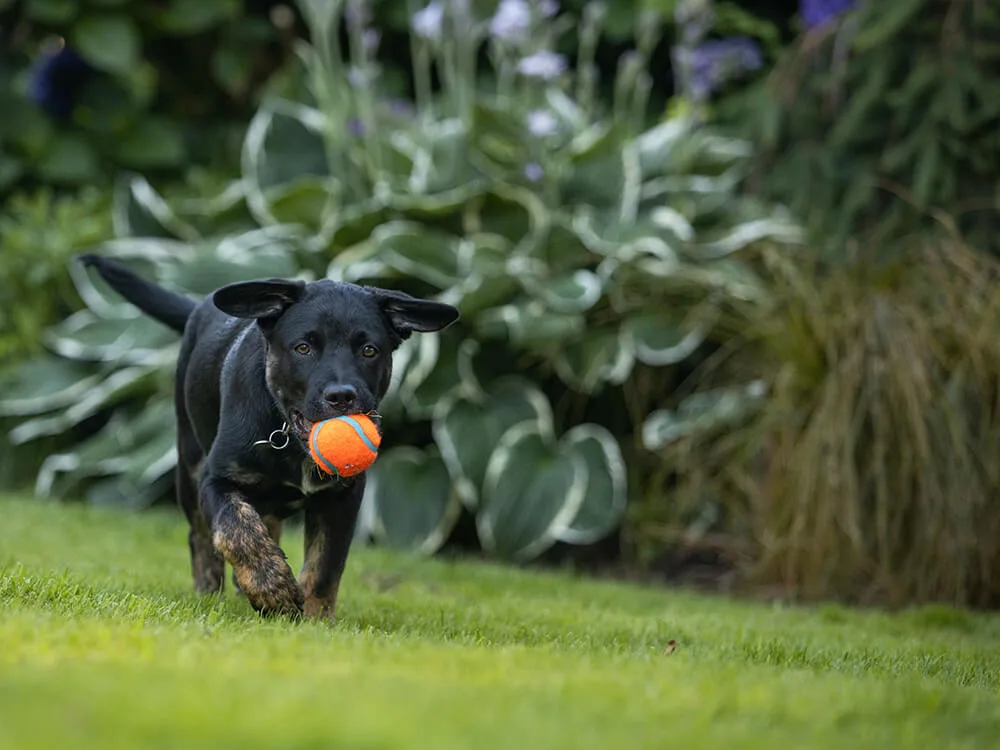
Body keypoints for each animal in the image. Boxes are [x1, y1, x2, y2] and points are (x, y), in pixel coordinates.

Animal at [78, 256, 460, 620]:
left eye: (369, 350)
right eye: (303, 348)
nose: (341, 396)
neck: (290, 438)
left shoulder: (343, 495)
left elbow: (326, 564)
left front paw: (315, 617)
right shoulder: (216, 480)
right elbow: (236, 528)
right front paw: (272, 588)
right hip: (189, 461)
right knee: (201, 535)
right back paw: (210, 590)